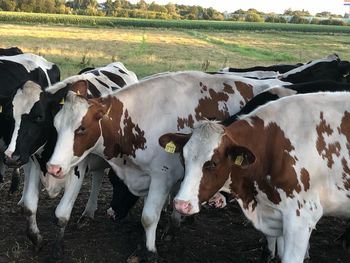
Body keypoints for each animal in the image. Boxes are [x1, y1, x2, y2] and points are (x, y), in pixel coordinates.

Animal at [3, 62, 138, 256]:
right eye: (8, 116)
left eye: (39, 117)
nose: (11, 157)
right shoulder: (36, 164)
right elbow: (30, 206)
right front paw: (36, 238)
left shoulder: (77, 171)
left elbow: (61, 214)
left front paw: (57, 250)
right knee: (98, 174)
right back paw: (88, 213)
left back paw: (88, 213)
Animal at [42, 70, 290, 262]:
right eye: (55, 125)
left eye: (82, 128)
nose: (53, 167)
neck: (142, 117)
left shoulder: (162, 176)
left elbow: (149, 217)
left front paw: (150, 253)